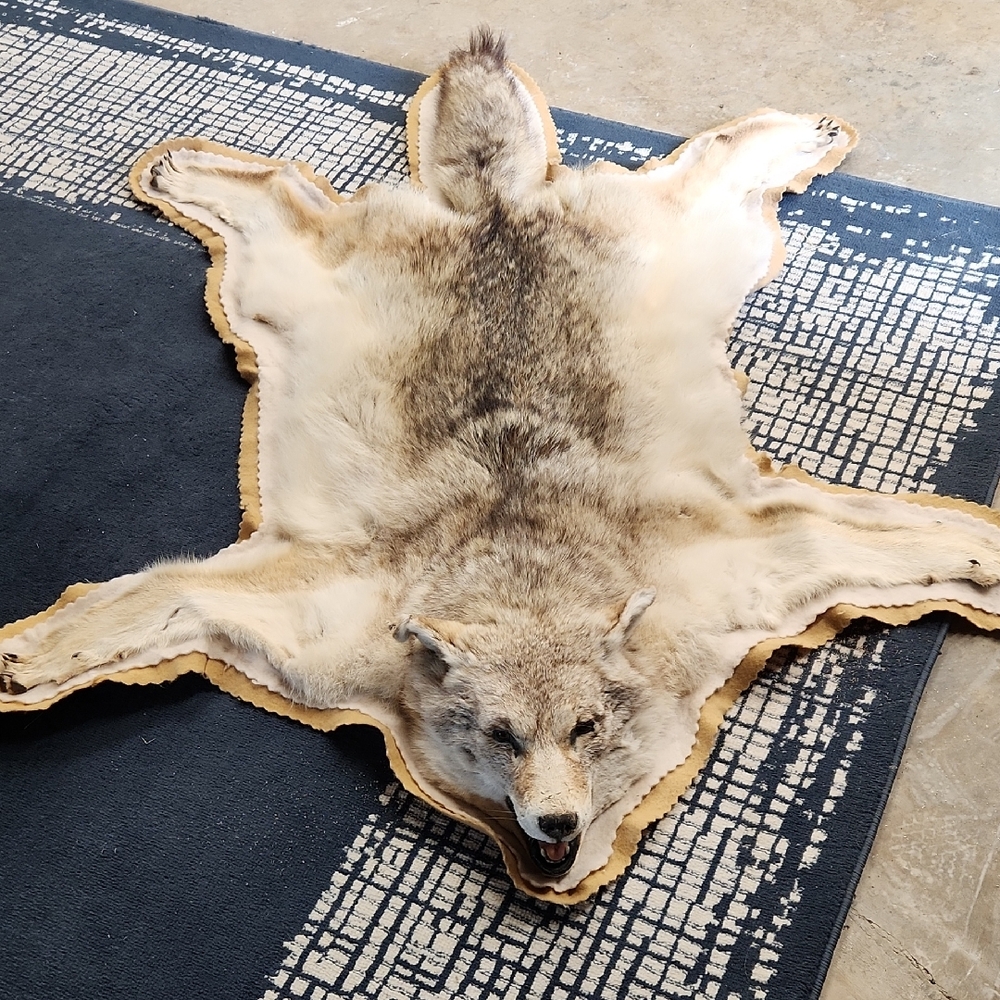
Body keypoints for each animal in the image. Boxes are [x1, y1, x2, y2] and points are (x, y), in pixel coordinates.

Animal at [5, 30, 1000, 890]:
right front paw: (41, 654)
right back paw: (185, 168)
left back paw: (799, 135)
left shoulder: (749, 564)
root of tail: (494, 205)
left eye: (587, 729)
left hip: (708, 246)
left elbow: (889, 537)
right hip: (278, 287)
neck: (524, 576)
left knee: (713, 156)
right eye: (502, 737)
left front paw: (980, 557)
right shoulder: (311, 624)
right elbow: (150, 596)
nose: (558, 827)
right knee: (282, 184)